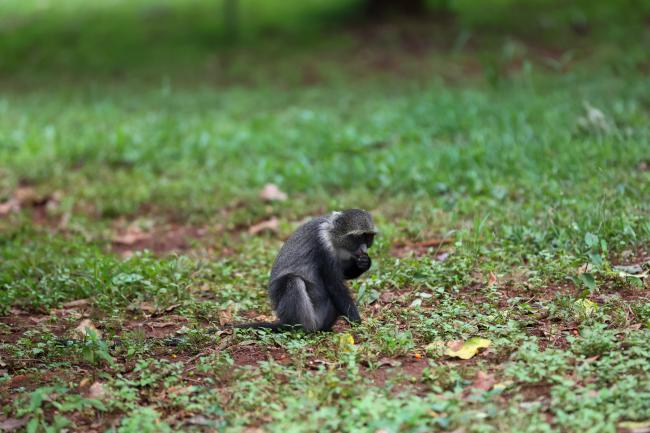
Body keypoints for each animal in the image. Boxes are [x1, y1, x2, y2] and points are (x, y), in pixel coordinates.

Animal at [230, 209, 377, 332]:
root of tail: (285, 321)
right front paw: (357, 322)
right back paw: (305, 329)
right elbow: (335, 286)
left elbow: (343, 275)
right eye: (358, 237)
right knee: (293, 280)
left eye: (368, 237)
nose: (364, 249)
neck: (331, 234)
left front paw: (365, 263)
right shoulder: (322, 245)